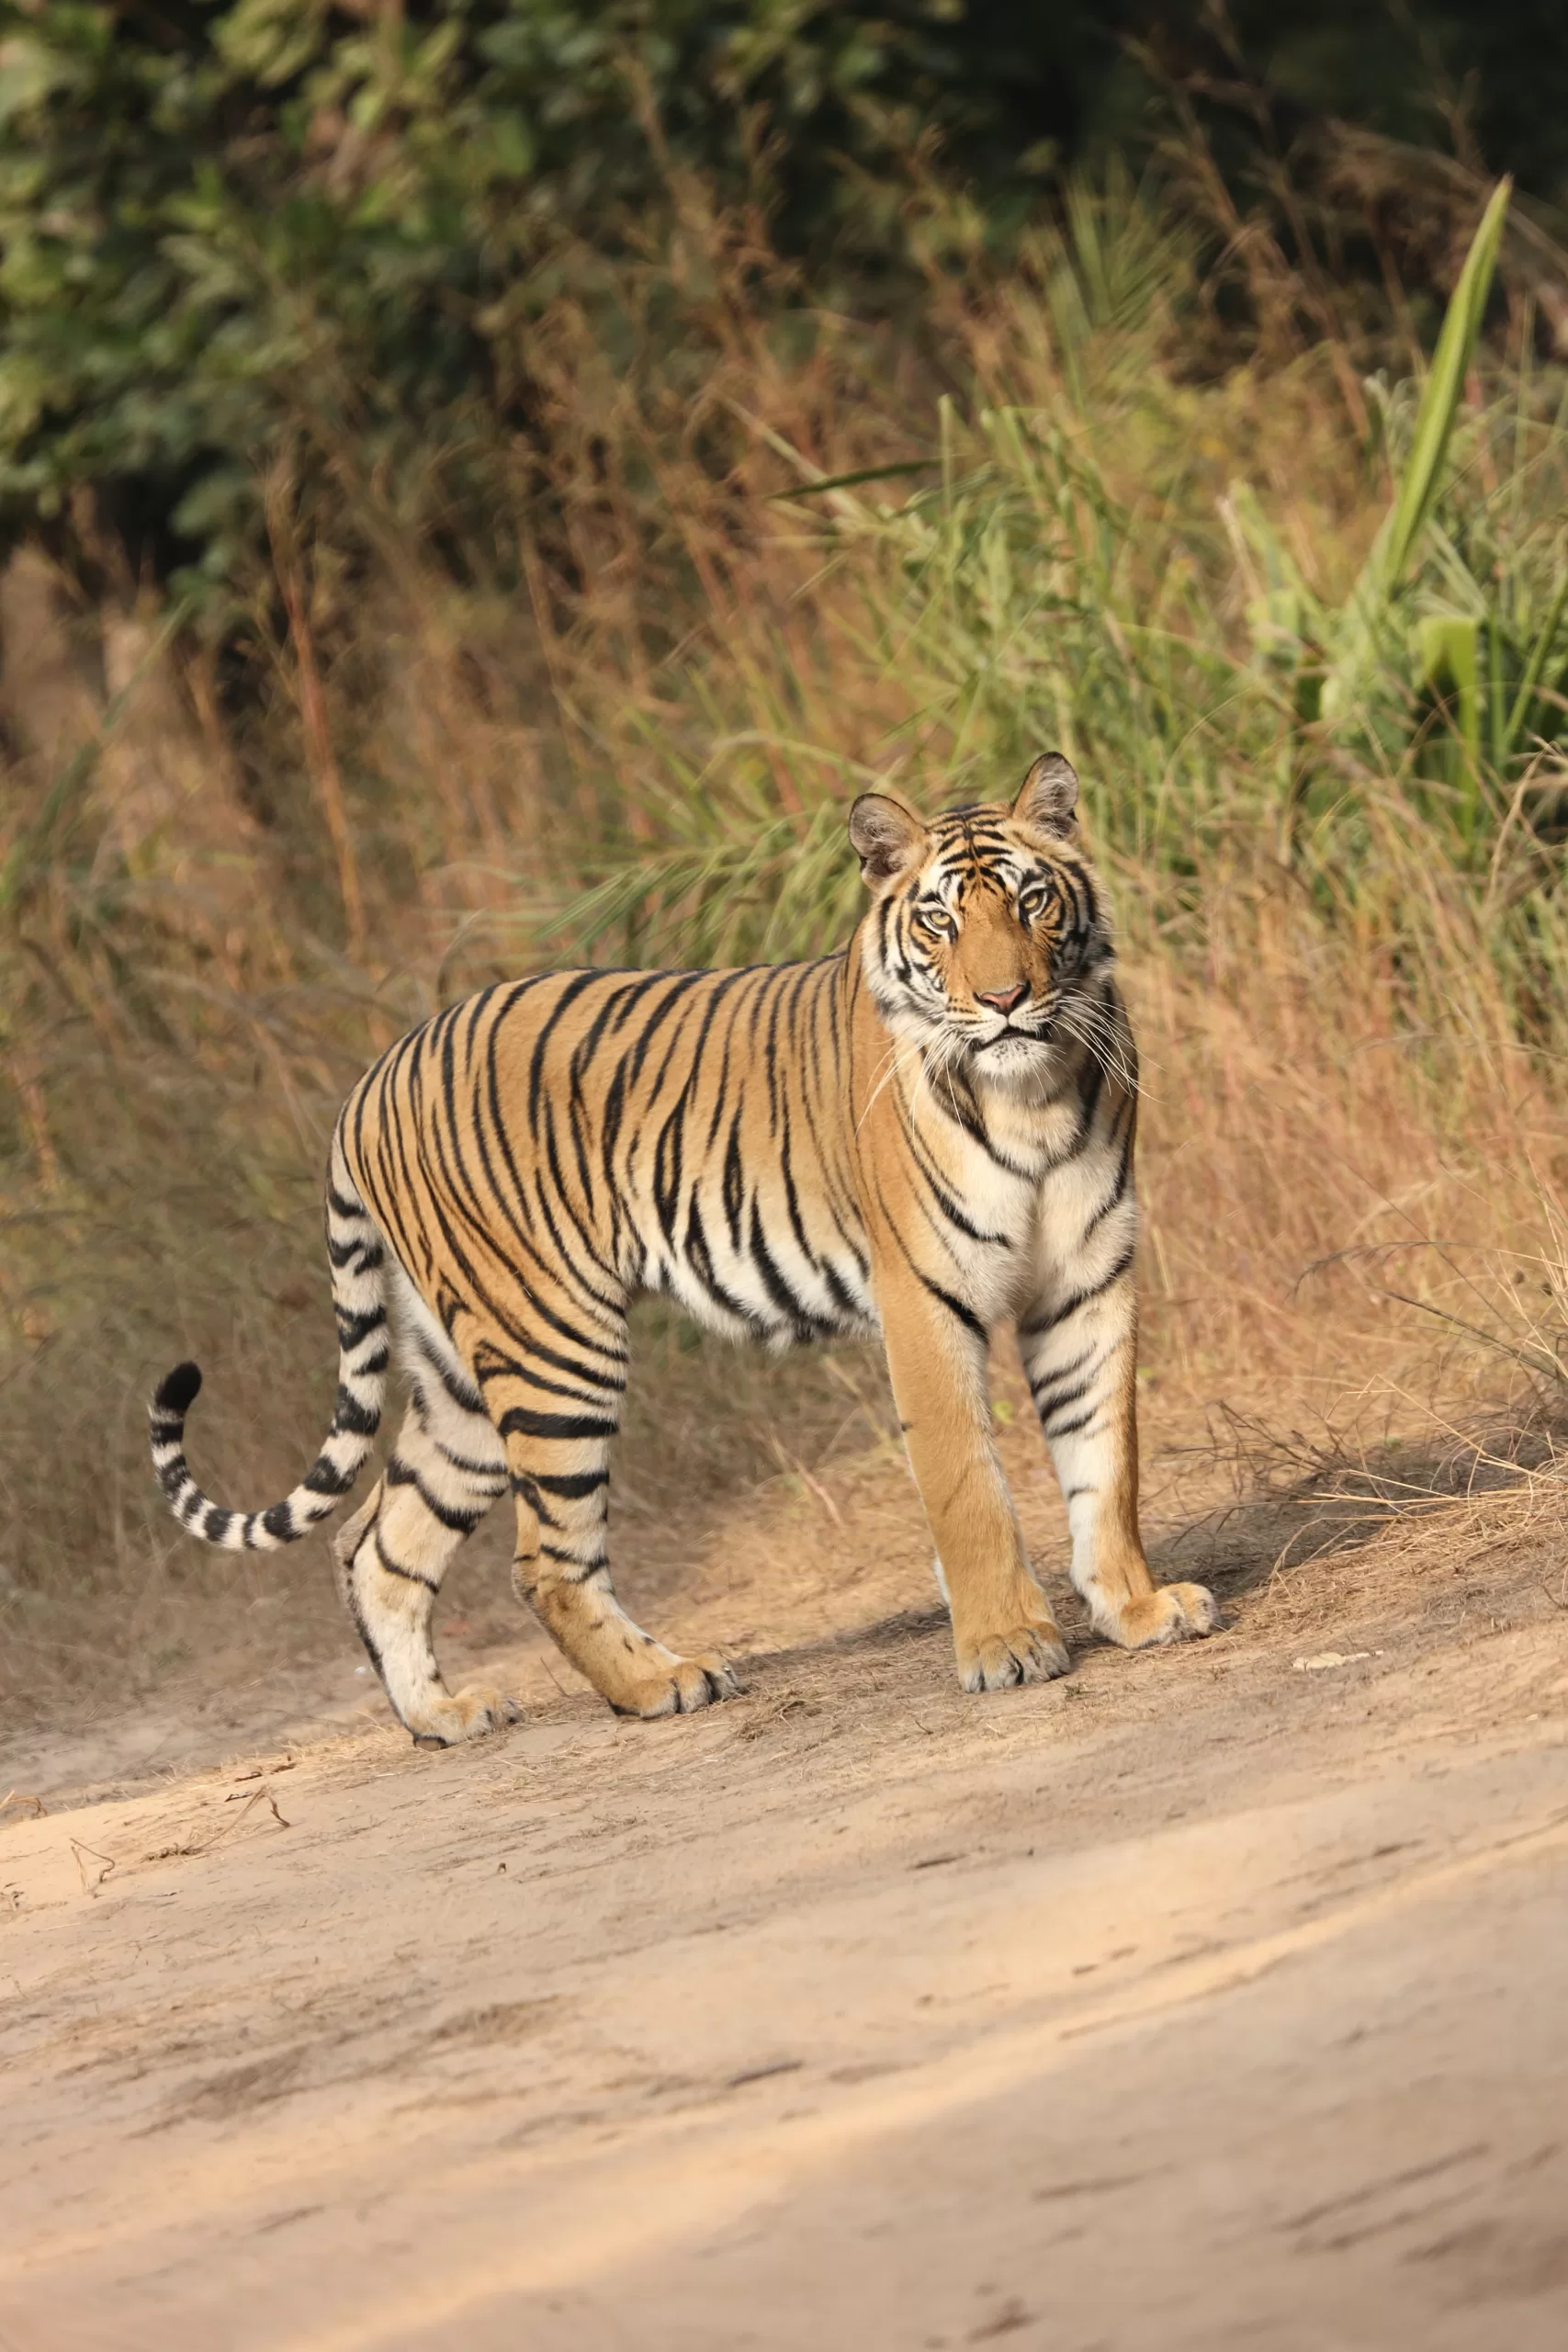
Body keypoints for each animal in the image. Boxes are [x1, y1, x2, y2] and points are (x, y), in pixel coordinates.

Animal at [146, 757, 1222, 1749]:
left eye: (1032, 900)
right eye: (939, 923)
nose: (1004, 1000)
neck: (1031, 1090)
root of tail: (370, 1077)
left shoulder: (1086, 1281)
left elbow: (1106, 1458)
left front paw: (1136, 1608)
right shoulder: (922, 1298)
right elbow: (968, 1485)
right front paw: (1007, 1646)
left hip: (459, 1384)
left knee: (378, 1546)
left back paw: (446, 1716)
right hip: (552, 1346)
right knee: (543, 1560)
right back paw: (663, 1682)